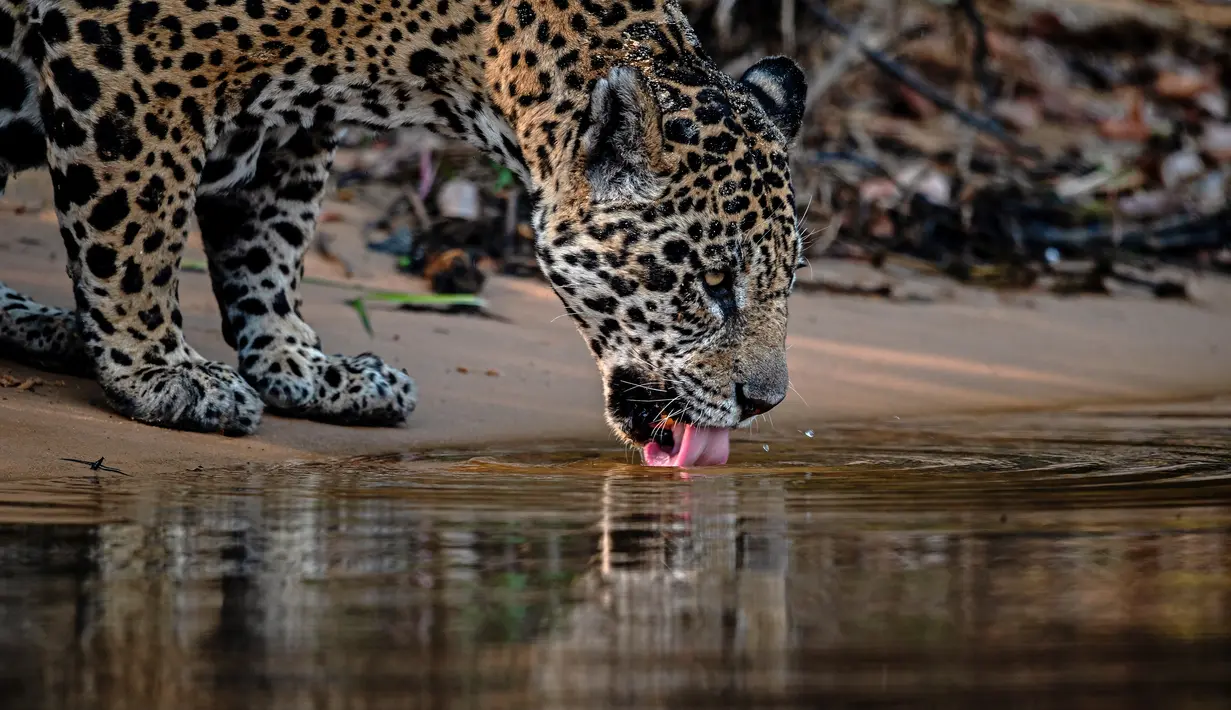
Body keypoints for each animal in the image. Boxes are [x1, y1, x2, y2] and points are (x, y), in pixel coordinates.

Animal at [0, 0, 807, 463]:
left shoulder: (292, 118)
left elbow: (270, 244)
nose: (765, 404)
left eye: (788, 281)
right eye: (712, 282)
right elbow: (137, 231)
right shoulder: (131, 66)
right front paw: (160, 373)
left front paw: (304, 369)